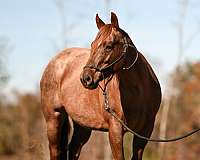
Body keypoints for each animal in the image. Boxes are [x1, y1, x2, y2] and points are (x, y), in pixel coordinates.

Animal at [40, 12, 161, 160]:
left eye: (108, 46)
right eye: (92, 45)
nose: (85, 78)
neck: (137, 92)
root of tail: (54, 61)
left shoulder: (145, 131)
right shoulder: (115, 129)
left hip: (82, 126)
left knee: (73, 149)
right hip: (53, 119)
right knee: (55, 150)